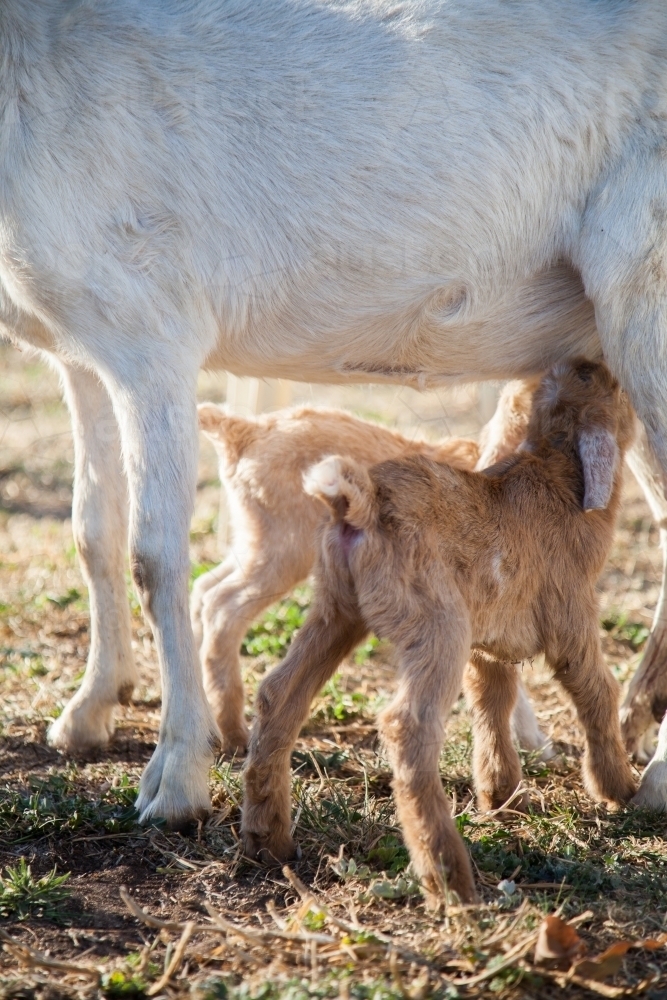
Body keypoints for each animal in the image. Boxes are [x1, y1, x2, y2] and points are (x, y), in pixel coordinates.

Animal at [194, 386, 551, 756]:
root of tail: (242, 429)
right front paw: (532, 742)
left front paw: (533, 743)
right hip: (283, 550)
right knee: (222, 606)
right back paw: (234, 733)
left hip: (252, 543)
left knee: (202, 590)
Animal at [242, 359, 637, 904]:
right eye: (614, 389)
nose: (593, 363)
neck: (553, 469)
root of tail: (360, 502)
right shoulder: (570, 615)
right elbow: (596, 690)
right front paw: (619, 788)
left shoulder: (488, 637)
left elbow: (493, 697)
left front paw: (501, 794)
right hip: (435, 624)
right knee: (408, 726)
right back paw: (450, 879)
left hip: (336, 609)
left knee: (279, 695)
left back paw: (268, 841)